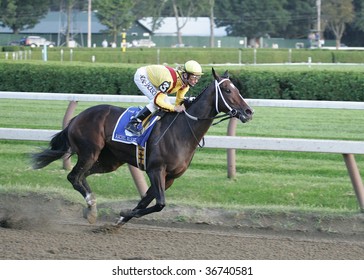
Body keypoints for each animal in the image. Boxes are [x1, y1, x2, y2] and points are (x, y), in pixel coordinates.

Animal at [32, 69, 253, 226]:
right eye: (227, 90)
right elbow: (160, 203)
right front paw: (124, 213)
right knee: (73, 176)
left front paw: (122, 218)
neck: (182, 131)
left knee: (81, 176)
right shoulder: (156, 170)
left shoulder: (170, 177)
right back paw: (91, 206)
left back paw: (90, 208)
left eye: (237, 90)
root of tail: (76, 118)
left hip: (110, 161)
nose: (248, 112)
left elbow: (146, 201)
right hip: (90, 152)